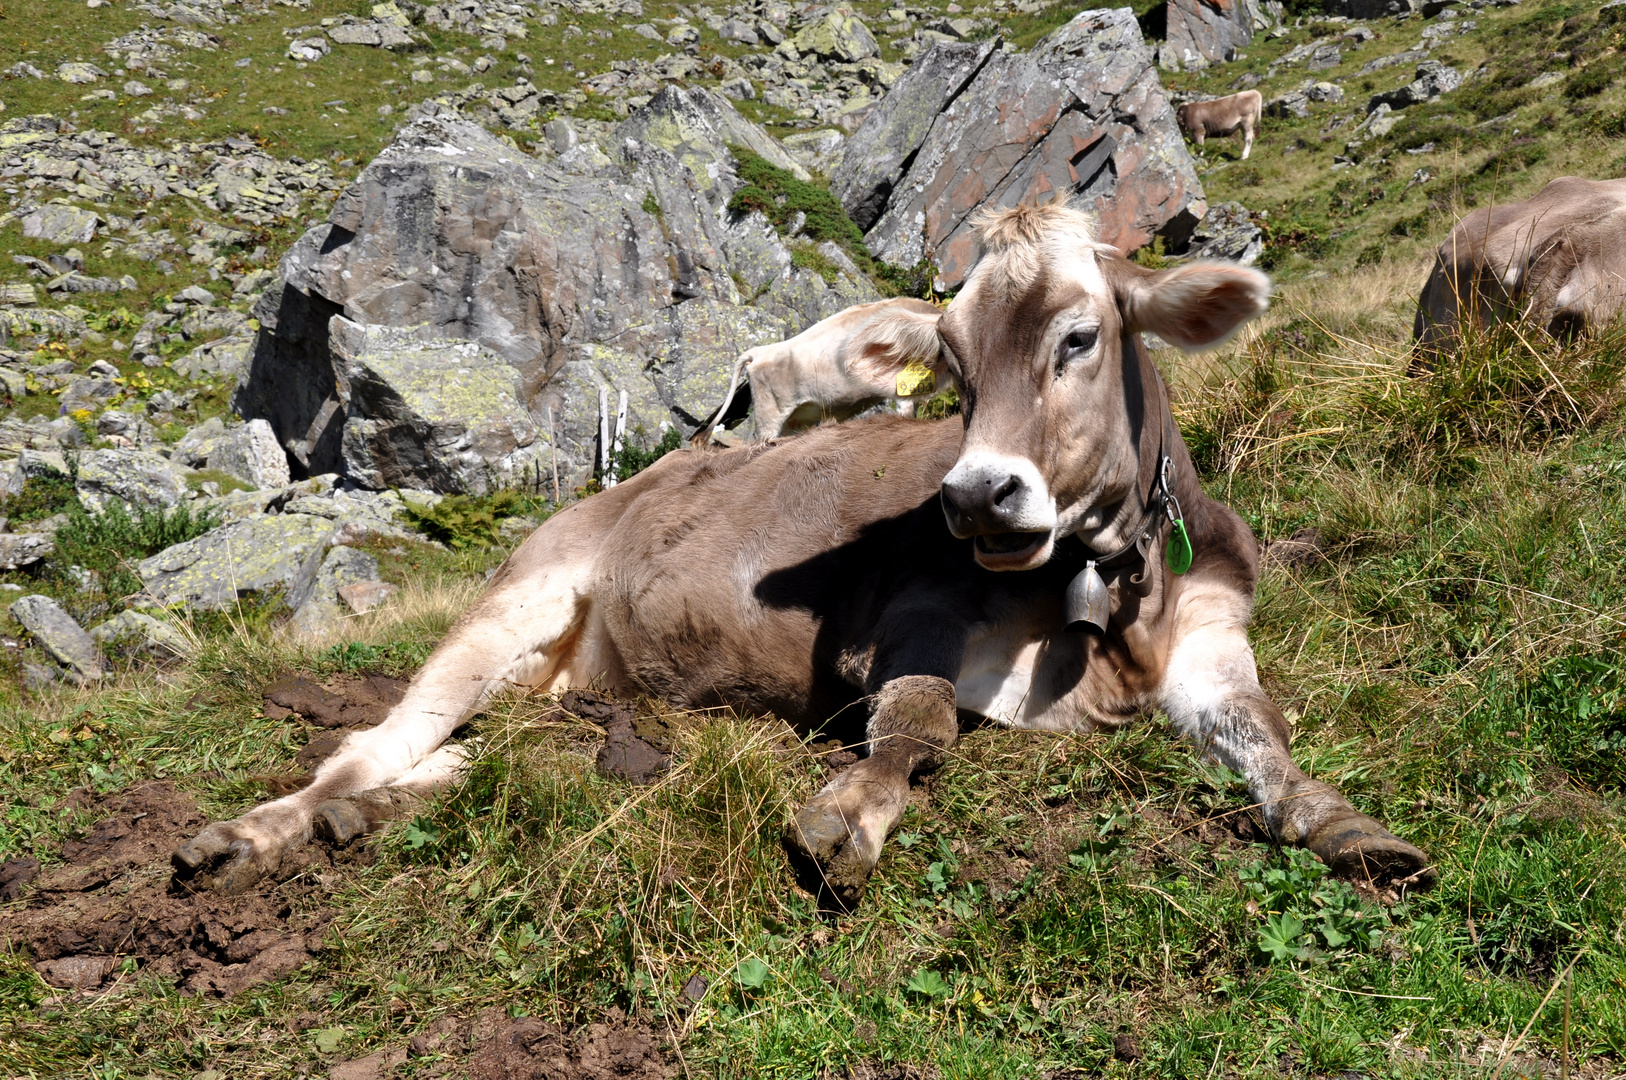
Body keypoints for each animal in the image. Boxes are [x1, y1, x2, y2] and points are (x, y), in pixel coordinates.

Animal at [171, 200, 1430, 904]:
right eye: (953, 367)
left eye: (1078, 338)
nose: (973, 495)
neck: (1108, 615)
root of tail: (628, 481)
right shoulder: (906, 625)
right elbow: (917, 730)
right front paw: (848, 817)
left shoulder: (1216, 641)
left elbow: (1266, 739)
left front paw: (1353, 827)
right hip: (512, 602)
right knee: (372, 741)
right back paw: (253, 835)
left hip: (588, 687)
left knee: (501, 751)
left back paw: (371, 816)